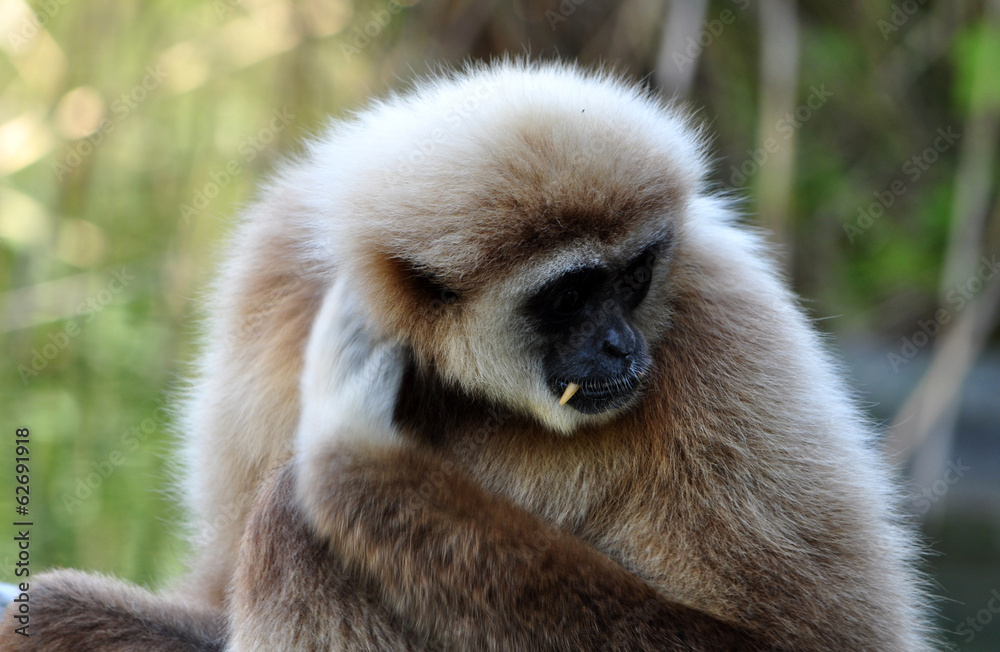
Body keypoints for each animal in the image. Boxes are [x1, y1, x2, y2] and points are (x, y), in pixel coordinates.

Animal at [0, 60, 936, 651]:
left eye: (635, 275)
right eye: (568, 296)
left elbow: (808, 639)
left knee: (296, 520)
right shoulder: (269, 294)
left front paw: (355, 457)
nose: (621, 342)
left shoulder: (726, 320)